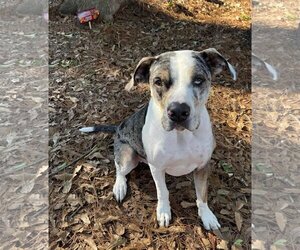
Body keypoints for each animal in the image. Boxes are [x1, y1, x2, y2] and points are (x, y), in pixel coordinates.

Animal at [79, 48, 237, 230]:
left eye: (199, 80)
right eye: (158, 81)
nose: (178, 111)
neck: (181, 136)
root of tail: (118, 127)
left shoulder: (203, 166)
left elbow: (202, 194)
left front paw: (207, 216)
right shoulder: (157, 168)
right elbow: (163, 191)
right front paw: (163, 212)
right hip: (127, 156)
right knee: (119, 169)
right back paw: (119, 187)